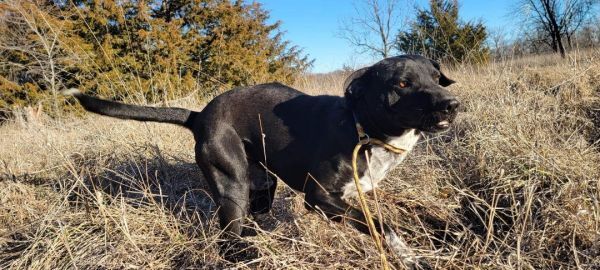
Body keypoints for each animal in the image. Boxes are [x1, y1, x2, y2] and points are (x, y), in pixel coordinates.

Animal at [63, 54, 460, 268]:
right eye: (402, 84)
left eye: (436, 78)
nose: (451, 105)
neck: (360, 125)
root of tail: (200, 115)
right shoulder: (319, 197)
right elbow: (383, 225)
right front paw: (410, 257)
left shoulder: (356, 193)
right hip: (233, 184)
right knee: (226, 239)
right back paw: (246, 253)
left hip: (262, 185)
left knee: (246, 219)